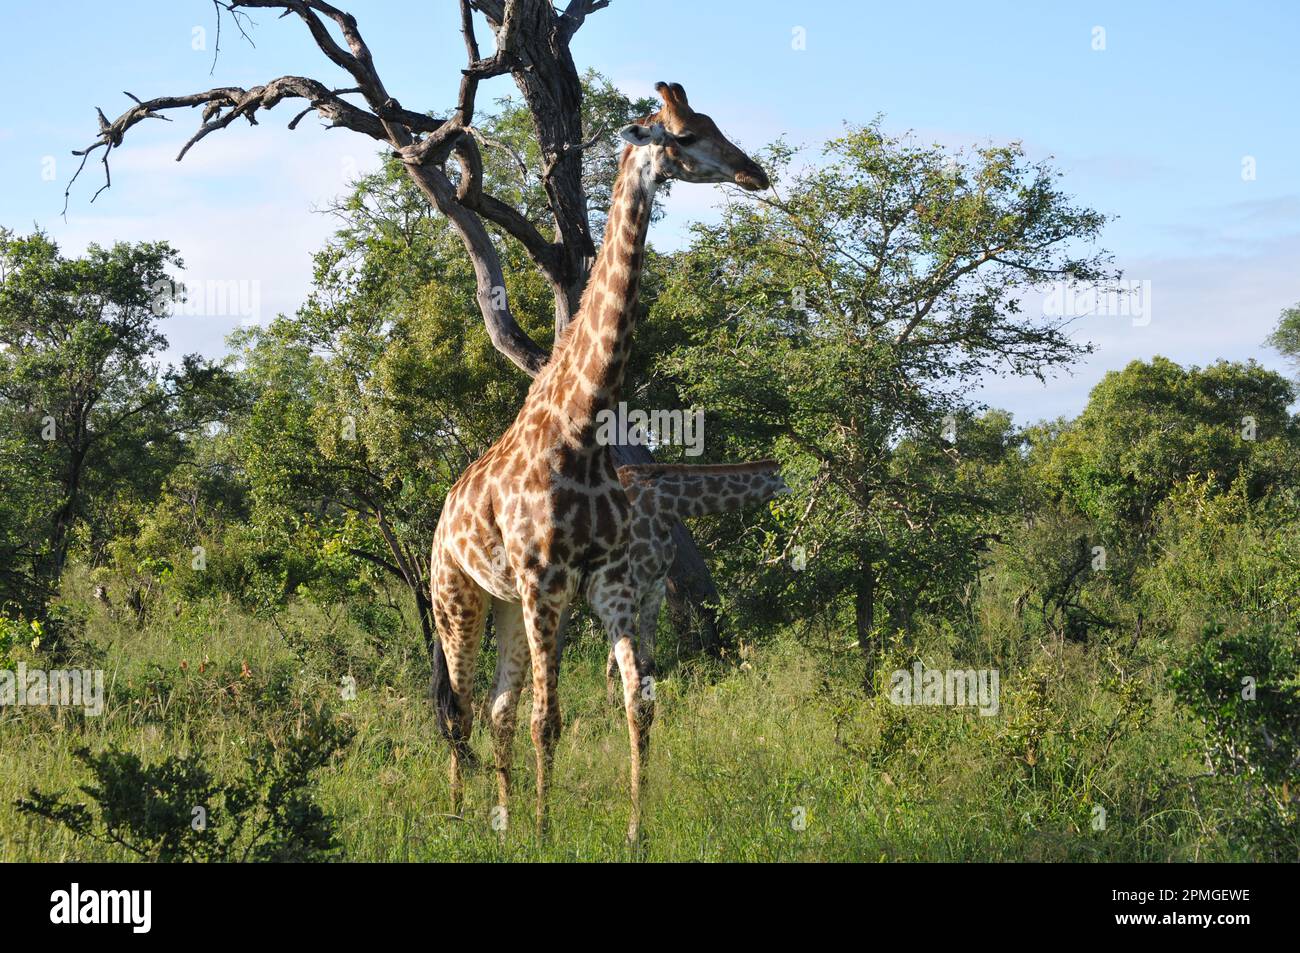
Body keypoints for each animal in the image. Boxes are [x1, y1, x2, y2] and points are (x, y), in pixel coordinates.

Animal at [431, 83, 764, 842]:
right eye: (685, 136)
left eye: (714, 123)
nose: (753, 172)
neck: (583, 425)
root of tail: (439, 519)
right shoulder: (545, 579)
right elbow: (547, 719)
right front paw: (546, 832)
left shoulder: (606, 582)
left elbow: (638, 704)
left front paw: (635, 831)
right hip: (456, 597)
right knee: (459, 708)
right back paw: (461, 814)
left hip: (502, 602)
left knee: (493, 708)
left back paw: (499, 815)